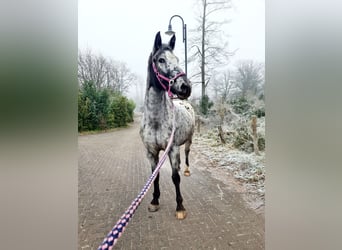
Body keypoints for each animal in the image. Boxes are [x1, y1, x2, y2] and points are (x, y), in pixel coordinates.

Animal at [140, 30, 195, 219]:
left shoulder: (172, 149)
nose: (185, 87)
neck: (156, 121)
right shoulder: (151, 152)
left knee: (187, 154)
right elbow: (154, 176)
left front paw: (180, 207)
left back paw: (187, 170)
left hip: (188, 141)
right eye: (161, 59)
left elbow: (175, 177)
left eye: (177, 59)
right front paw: (154, 201)